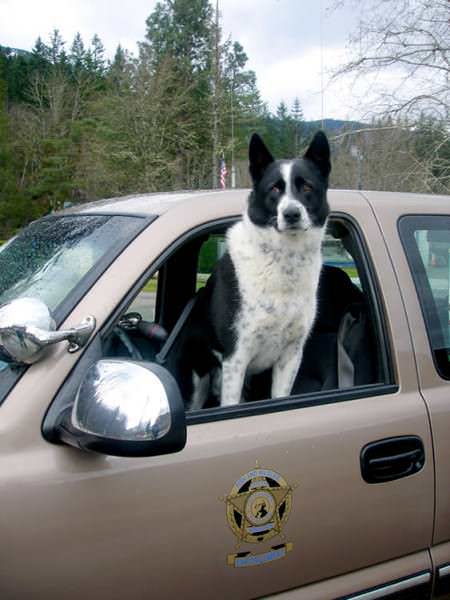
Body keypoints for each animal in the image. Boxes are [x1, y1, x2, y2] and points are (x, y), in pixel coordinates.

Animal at [172, 132, 330, 410]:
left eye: (307, 187)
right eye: (274, 188)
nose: (291, 214)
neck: (282, 260)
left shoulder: (291, 356)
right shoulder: (236, 356)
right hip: (197, 381)